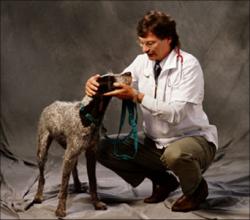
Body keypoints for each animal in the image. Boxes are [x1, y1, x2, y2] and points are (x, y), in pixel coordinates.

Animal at [32, 72, 132, 217]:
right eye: (111, 78)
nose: (129, 73)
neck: (88, 116)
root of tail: (50, 105)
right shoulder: (70, 154)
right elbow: (63, 187)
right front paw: (60, 209)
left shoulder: (90, 155)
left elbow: (93, 182)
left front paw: (96, 203)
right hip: (43, 150)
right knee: (42, 176)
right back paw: (38, 196)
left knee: (73, 169)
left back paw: (78, 186)